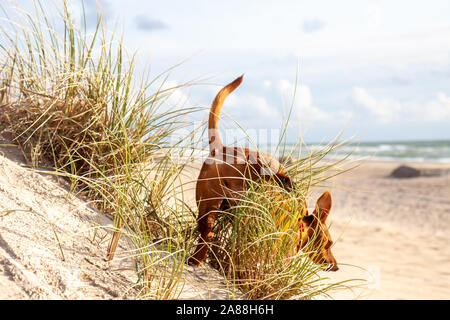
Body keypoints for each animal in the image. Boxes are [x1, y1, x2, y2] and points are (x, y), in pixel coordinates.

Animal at [186, 75, 338, 272]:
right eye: (329, 243)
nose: (336, 266)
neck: (301, 221)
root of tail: (221, 148)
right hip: (209, 206)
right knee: (206, 235)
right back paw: (196, 260)